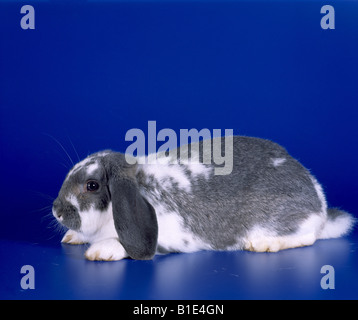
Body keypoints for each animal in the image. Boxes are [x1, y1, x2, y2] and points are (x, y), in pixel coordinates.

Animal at [51, 136, 356, 262]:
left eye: (92, 185)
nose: (56, 210)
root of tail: (319, 201)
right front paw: (72, 237)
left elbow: (126, 245)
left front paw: (101, 251)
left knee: (307, 237)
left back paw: (264, 244)